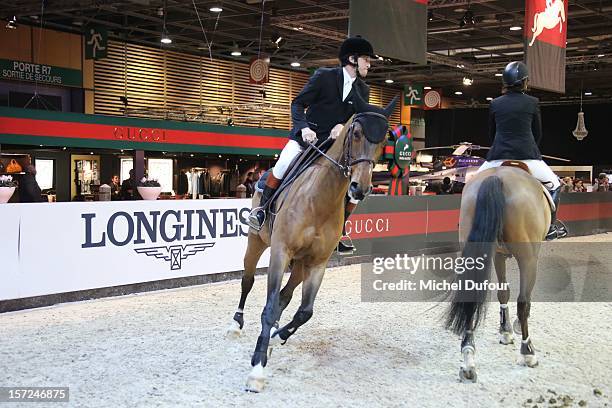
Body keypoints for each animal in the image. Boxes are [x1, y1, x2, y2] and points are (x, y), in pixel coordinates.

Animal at [228, 96, 396, 392]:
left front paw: (275, 336)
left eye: (385, 138)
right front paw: (257, 368)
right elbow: (268, 307)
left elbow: (304, 311)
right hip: (257, 243)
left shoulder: (318, 263)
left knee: (286, 295)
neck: (320, 199)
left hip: (301, 265)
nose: (359, 188)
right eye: (355, 133)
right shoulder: (280, 252)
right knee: (247, 281)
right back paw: (236, 324)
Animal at [444, 164, 548, 380]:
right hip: (528, 258)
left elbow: (503, 292)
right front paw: (513, 328)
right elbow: (521, 298)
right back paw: (528, 352)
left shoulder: (498, 254)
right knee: (523, 301)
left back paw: (468, 360)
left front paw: (505, 331)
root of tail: (498, 177)